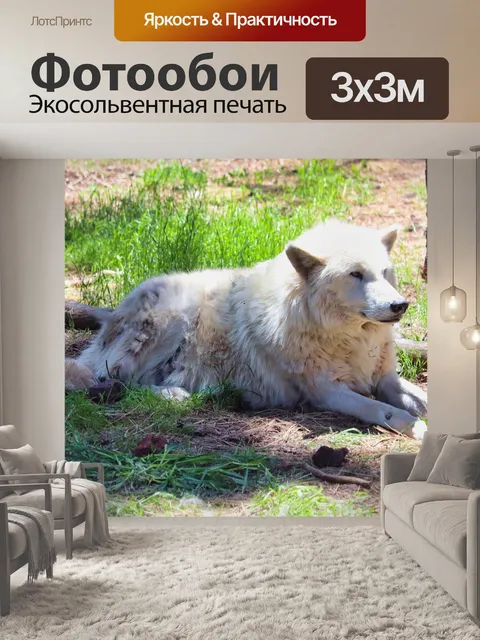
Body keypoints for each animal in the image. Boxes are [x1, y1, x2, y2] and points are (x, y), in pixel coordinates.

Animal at [66, 221, 427, 433]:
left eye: (385, 272)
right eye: (356, 275)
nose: (400, 305)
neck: (351, 339)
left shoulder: (383, 378)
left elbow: (418, 397)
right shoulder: (327, 392)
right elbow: (385, 411)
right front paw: (419, 430)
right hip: (174, 318)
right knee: (117, 381)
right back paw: (175, 395)